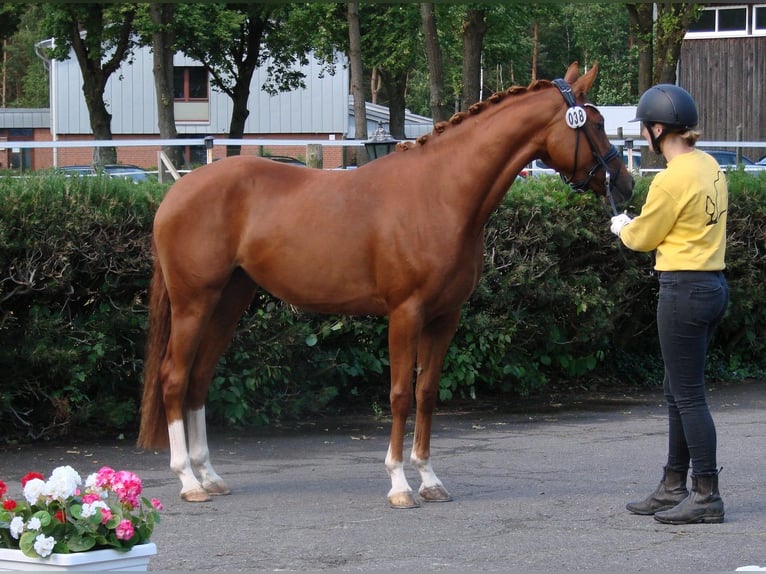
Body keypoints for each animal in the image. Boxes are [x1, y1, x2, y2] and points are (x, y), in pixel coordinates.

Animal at [138, 63, 636, 510]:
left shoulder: (444, 317)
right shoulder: (405, 313)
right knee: (174, 377)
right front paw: (399, 484)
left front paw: (430, 480)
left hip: (229, 301)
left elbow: (427, 394)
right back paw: (188, 481)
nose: (627, 184)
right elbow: (399, 394)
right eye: (594, 124)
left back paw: (209, 474)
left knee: (198, 379)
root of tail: (176, 194)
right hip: (193, 302)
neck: (440, 194)